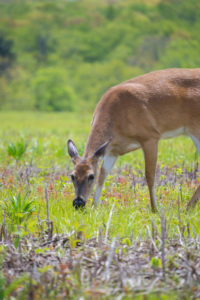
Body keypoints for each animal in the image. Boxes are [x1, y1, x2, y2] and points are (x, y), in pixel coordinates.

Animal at [67, 69, 200, 212]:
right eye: (72, 175)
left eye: (91, 176)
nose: (78, 203)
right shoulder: (113, 150)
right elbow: (103, 175)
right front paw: (95, 206)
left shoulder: (150, 136)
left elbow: (149, 175)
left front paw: (155, 209)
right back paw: (189, 207)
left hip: (195, 129)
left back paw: (188, 207)